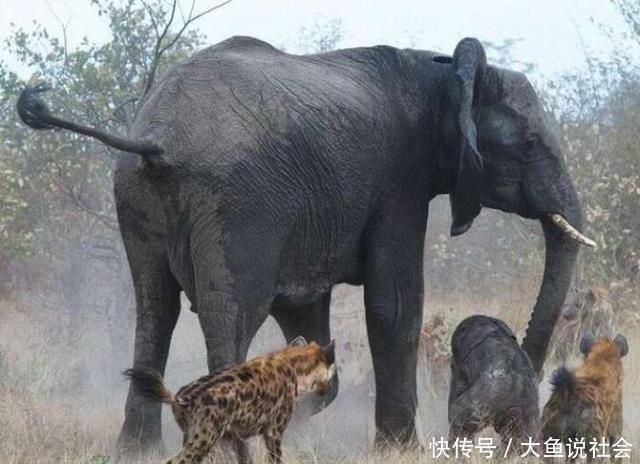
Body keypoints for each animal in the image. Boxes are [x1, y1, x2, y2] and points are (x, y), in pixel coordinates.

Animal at [16, 36, 596, 454]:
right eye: (529, 145)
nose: (530, 368)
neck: (440, 69)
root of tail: (155, 136)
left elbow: (306, 313)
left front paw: (298, 410)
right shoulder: (398, 183)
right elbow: (395, 304)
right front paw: (398, 450)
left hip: (135, 193)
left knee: (154, 310)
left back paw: (136, 451)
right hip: (234, 206)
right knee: (230, 316)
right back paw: (225, 445)